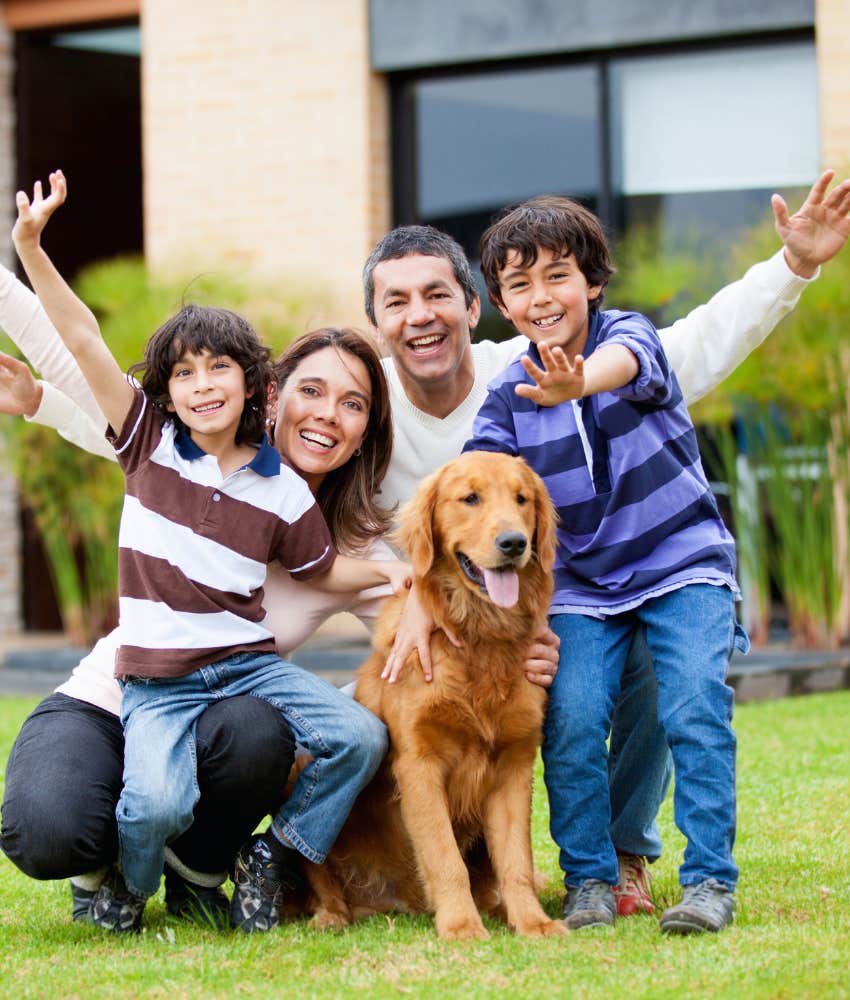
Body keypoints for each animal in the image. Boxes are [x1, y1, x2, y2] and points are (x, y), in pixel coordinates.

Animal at [302, 452, 568, 936]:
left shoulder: (515, 765)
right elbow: (445, 859)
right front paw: (461, 926)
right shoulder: (419, 764)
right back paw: (332, 915)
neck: (480, 638)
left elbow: (516, 860)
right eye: (470, 498)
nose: (514, 542)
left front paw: (532, 922)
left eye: (522, 499)